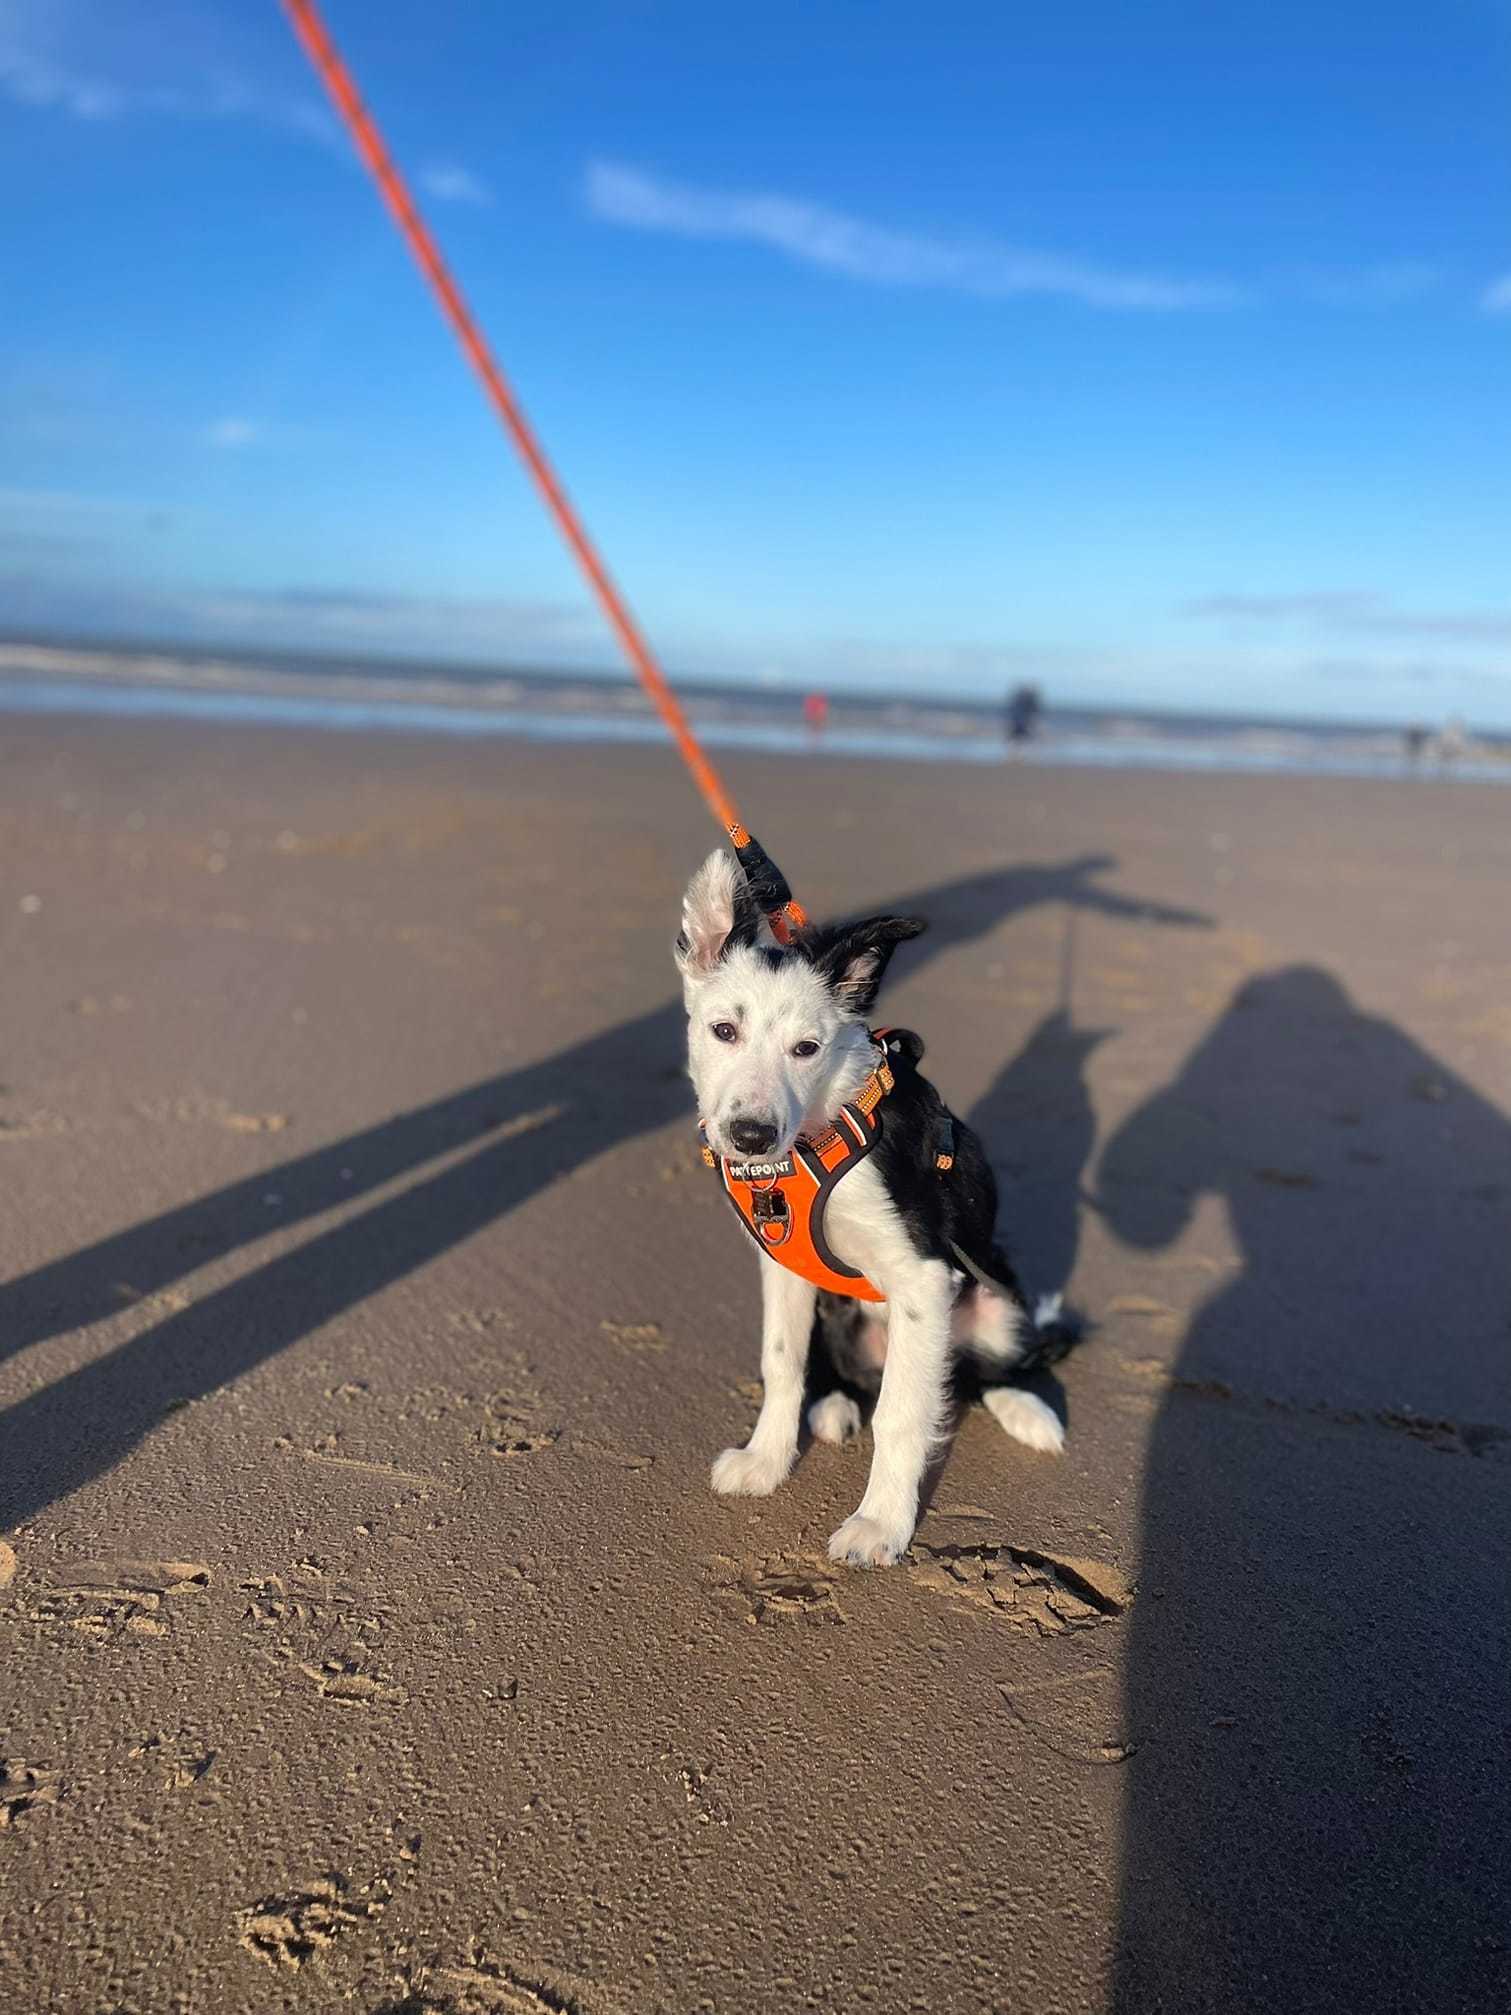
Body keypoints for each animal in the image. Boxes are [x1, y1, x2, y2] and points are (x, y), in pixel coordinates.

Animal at [672, 842, 1079, 1563]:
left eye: (806, 1048)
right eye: (723, 1030)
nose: (750, 1135)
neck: (817, 1130)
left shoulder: (923, 1276)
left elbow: (901, 1413)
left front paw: (881, 1524)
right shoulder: (783, 1264)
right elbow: (781, 1360)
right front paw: (767, 1460)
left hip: (995, 1299)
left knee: (978, 1373)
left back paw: (1027, 1411)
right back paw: (832, 1406)